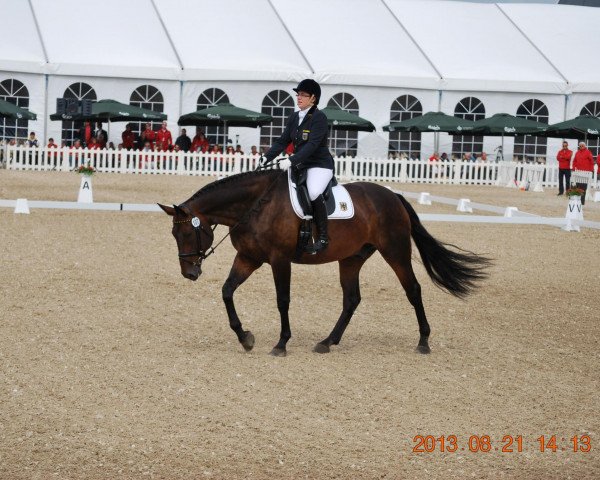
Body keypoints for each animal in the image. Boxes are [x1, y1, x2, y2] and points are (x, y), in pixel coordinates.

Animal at [158, 167, 488, 354]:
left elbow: (283, 300)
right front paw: (245, 338)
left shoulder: (279, 260)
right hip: (351, 259)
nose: (189, 272)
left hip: (395, 252)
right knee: (352, 299)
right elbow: (227, 291)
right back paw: (328, 342)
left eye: (186, 233)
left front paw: (281, 343)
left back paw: (423, 342)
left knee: (413, 291)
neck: (254, 206)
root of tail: (392, 196)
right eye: (173, 234)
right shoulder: (249, 257)